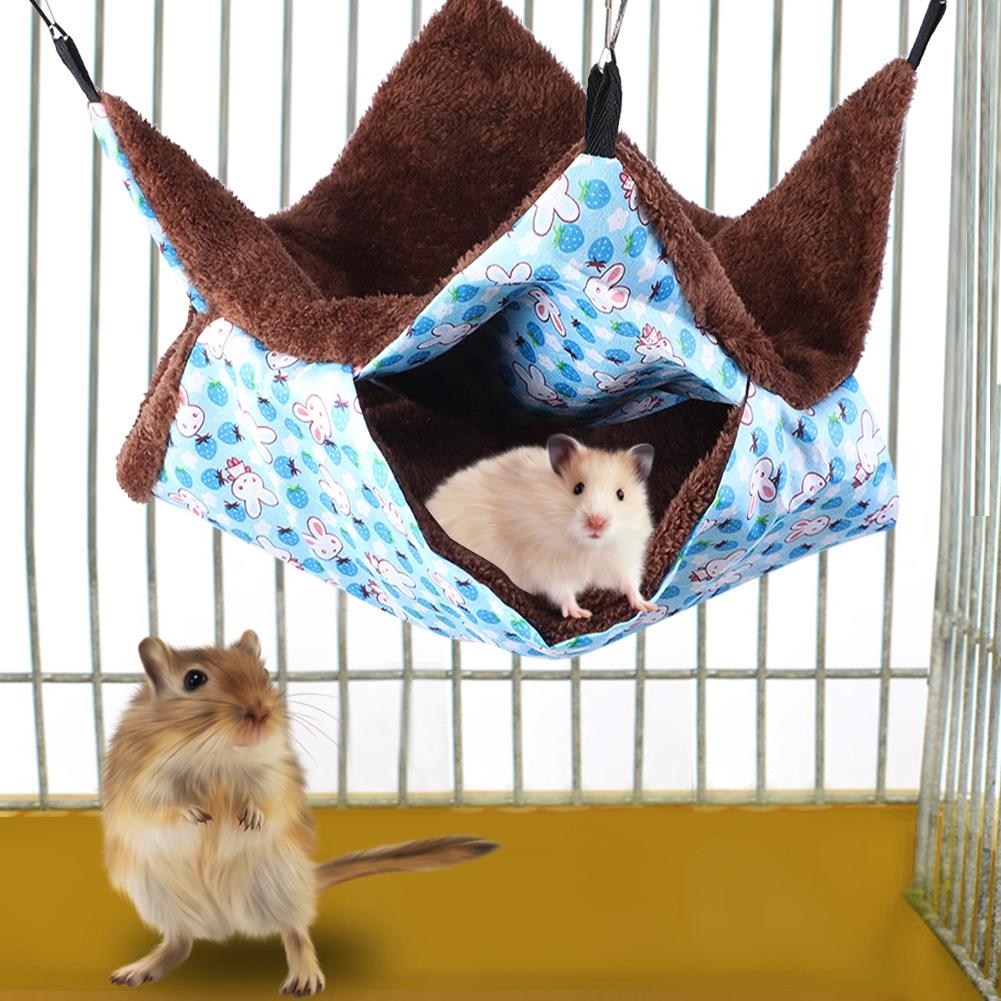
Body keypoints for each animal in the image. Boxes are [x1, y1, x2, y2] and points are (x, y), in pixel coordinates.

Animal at [102, 630, 496, 995]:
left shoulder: (274, 772)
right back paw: (136, 971)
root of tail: (225, 922)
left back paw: (304, 979)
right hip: (160, 898)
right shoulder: (141, 780)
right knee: (179, 942)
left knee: (295, 931)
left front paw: (250, 819)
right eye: (194, 679)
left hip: (279, 883)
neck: (216, 756)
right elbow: (160, 806)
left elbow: (267, 799)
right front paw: (198, 816)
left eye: (263, 672)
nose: (262, 712)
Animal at [426, 434, 657, 620]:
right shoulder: (546, 565)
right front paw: (580, 614)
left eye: (621, 494)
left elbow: (630, 582)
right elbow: (562, 591)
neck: (589, 548)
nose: (596, 523)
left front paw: (646, 606)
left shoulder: (624, 558)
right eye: (578, 488)